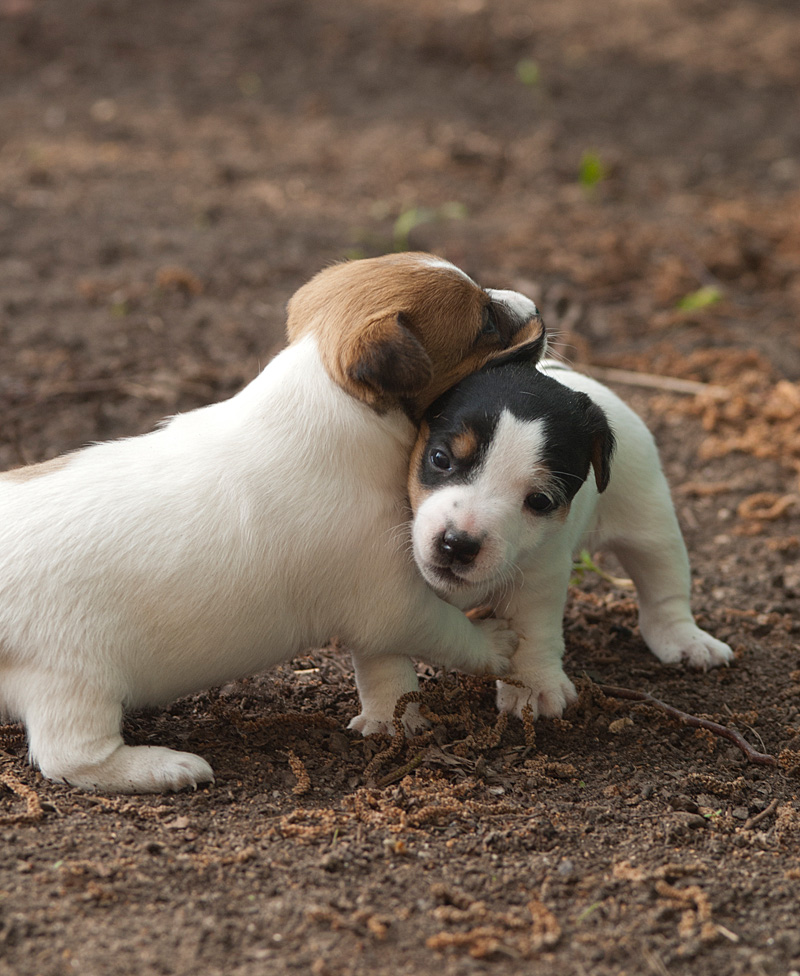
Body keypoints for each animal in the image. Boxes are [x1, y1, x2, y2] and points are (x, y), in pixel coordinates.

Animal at [0, 252, 544, 792]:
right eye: (486, 323)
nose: (537, 305)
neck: (328, 397)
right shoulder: (393, 602)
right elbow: (446, 628)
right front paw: (494, 642)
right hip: (76, 682)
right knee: (70, 756)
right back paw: (167, 767)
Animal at [406, 354, 732, 720]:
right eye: (440, 458)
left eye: (540, 501)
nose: (458, 544)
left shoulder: (540, 576)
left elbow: (532, 630)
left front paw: (533, 683)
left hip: (652, 531)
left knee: (664, 590)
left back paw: (687, 639)